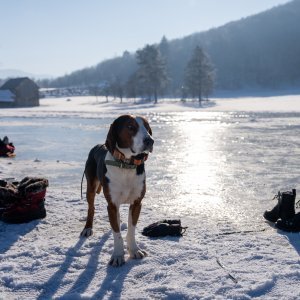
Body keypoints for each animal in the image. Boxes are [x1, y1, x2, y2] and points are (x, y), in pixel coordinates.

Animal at [81, 113, 154, 266]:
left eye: (147, 127)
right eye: (130, 127)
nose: (150, 141)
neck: (126, 165)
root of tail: (97, 145)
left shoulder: (137, 203)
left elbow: (131, 229)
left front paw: (134, 250)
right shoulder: (112, 205)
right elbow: (116, 234)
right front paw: (118, 255)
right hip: (90, 186)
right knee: (91, 207)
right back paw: (87, 228)